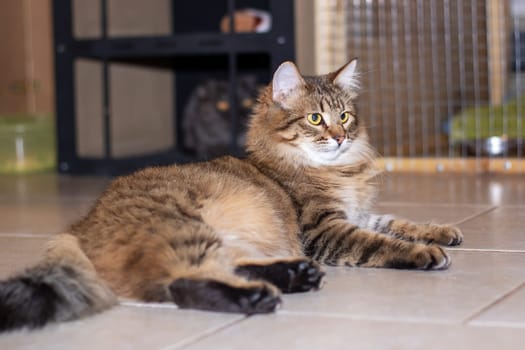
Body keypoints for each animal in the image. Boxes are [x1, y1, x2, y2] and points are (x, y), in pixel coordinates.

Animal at [0, 59, 460, 330]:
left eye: (345, 116)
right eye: (315, 119)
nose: (341, 137)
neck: (334, 169)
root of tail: (80, 225)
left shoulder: (356, 214)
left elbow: (396, 222)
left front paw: (443, 230)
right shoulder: (325, 229)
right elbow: (381, 242)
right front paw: (425, 252)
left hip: (227, 238)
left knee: (230, 266)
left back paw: (295, 275)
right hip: (185, 228)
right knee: (181, 285)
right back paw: (259, 296)